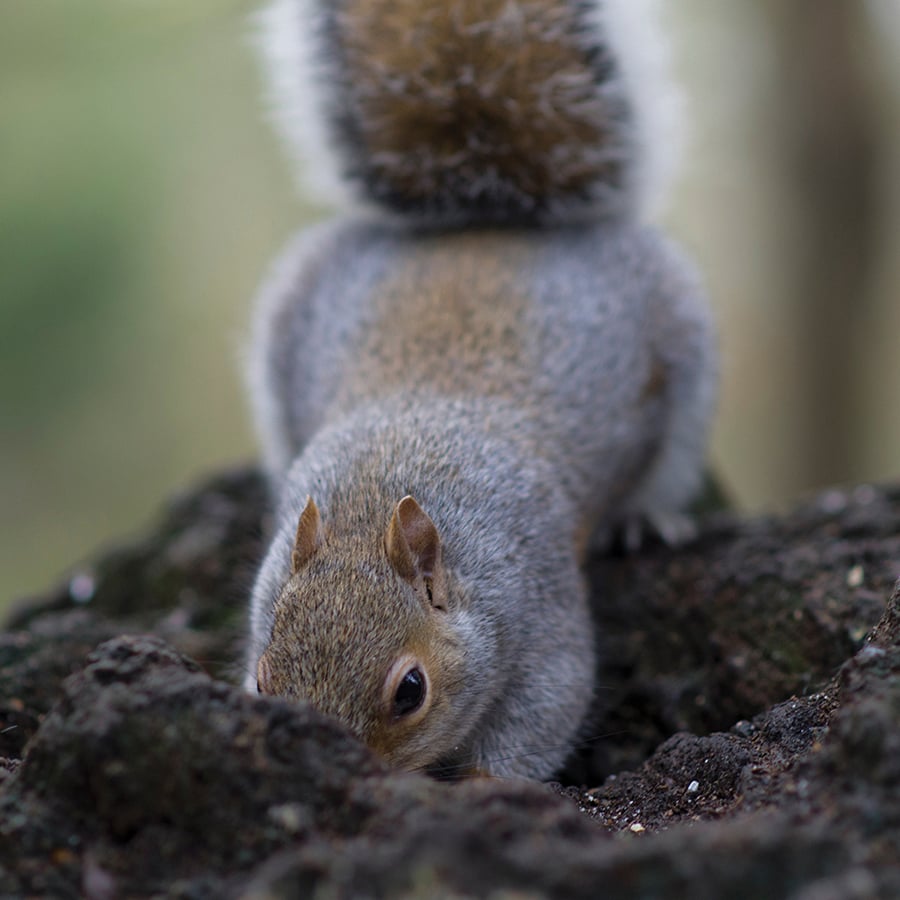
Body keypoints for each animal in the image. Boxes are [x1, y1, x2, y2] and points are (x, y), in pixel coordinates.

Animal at [244, 0, 717, 780]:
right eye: (262, 681)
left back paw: (642, 518)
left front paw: (475, 786)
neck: (375, 494)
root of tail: (484, 225)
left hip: (687, 363)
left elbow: (544, 709)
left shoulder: (536, 600)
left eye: (411, 691)